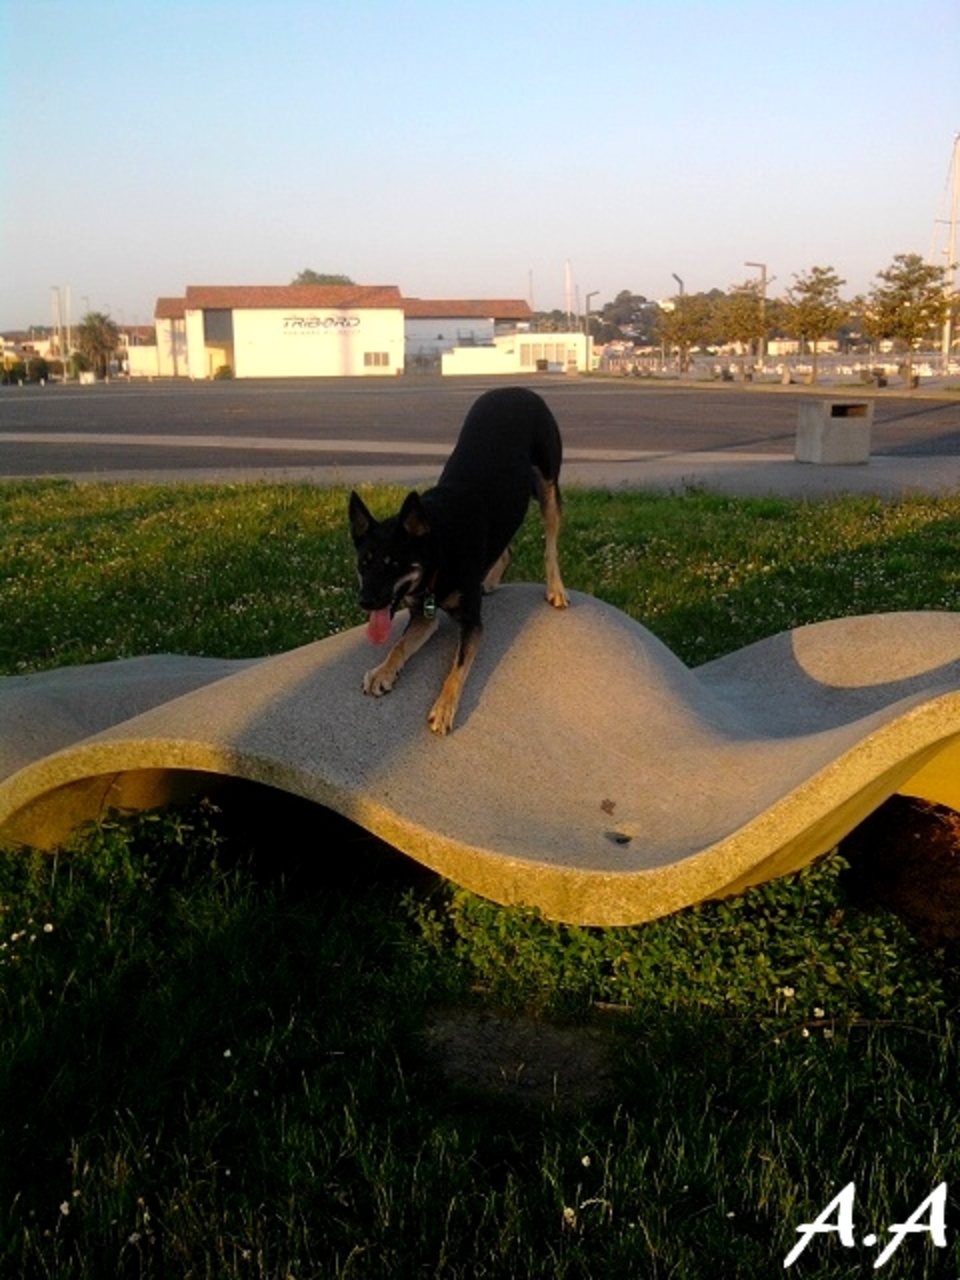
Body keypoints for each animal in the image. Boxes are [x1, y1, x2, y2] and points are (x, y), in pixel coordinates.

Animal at [350, 384, 568, 737]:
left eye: (393, 563)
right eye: (364, 563)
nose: (365, 602)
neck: (438, 548)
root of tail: (517, 388)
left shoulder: (472, 623)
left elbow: (458, 666)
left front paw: (443, 707)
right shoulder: (424, 616)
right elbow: (398, 646)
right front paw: (383, 671)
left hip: (548, 485)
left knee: (551, 545)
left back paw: (556, 589)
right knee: (506, 546)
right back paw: (490, 580)